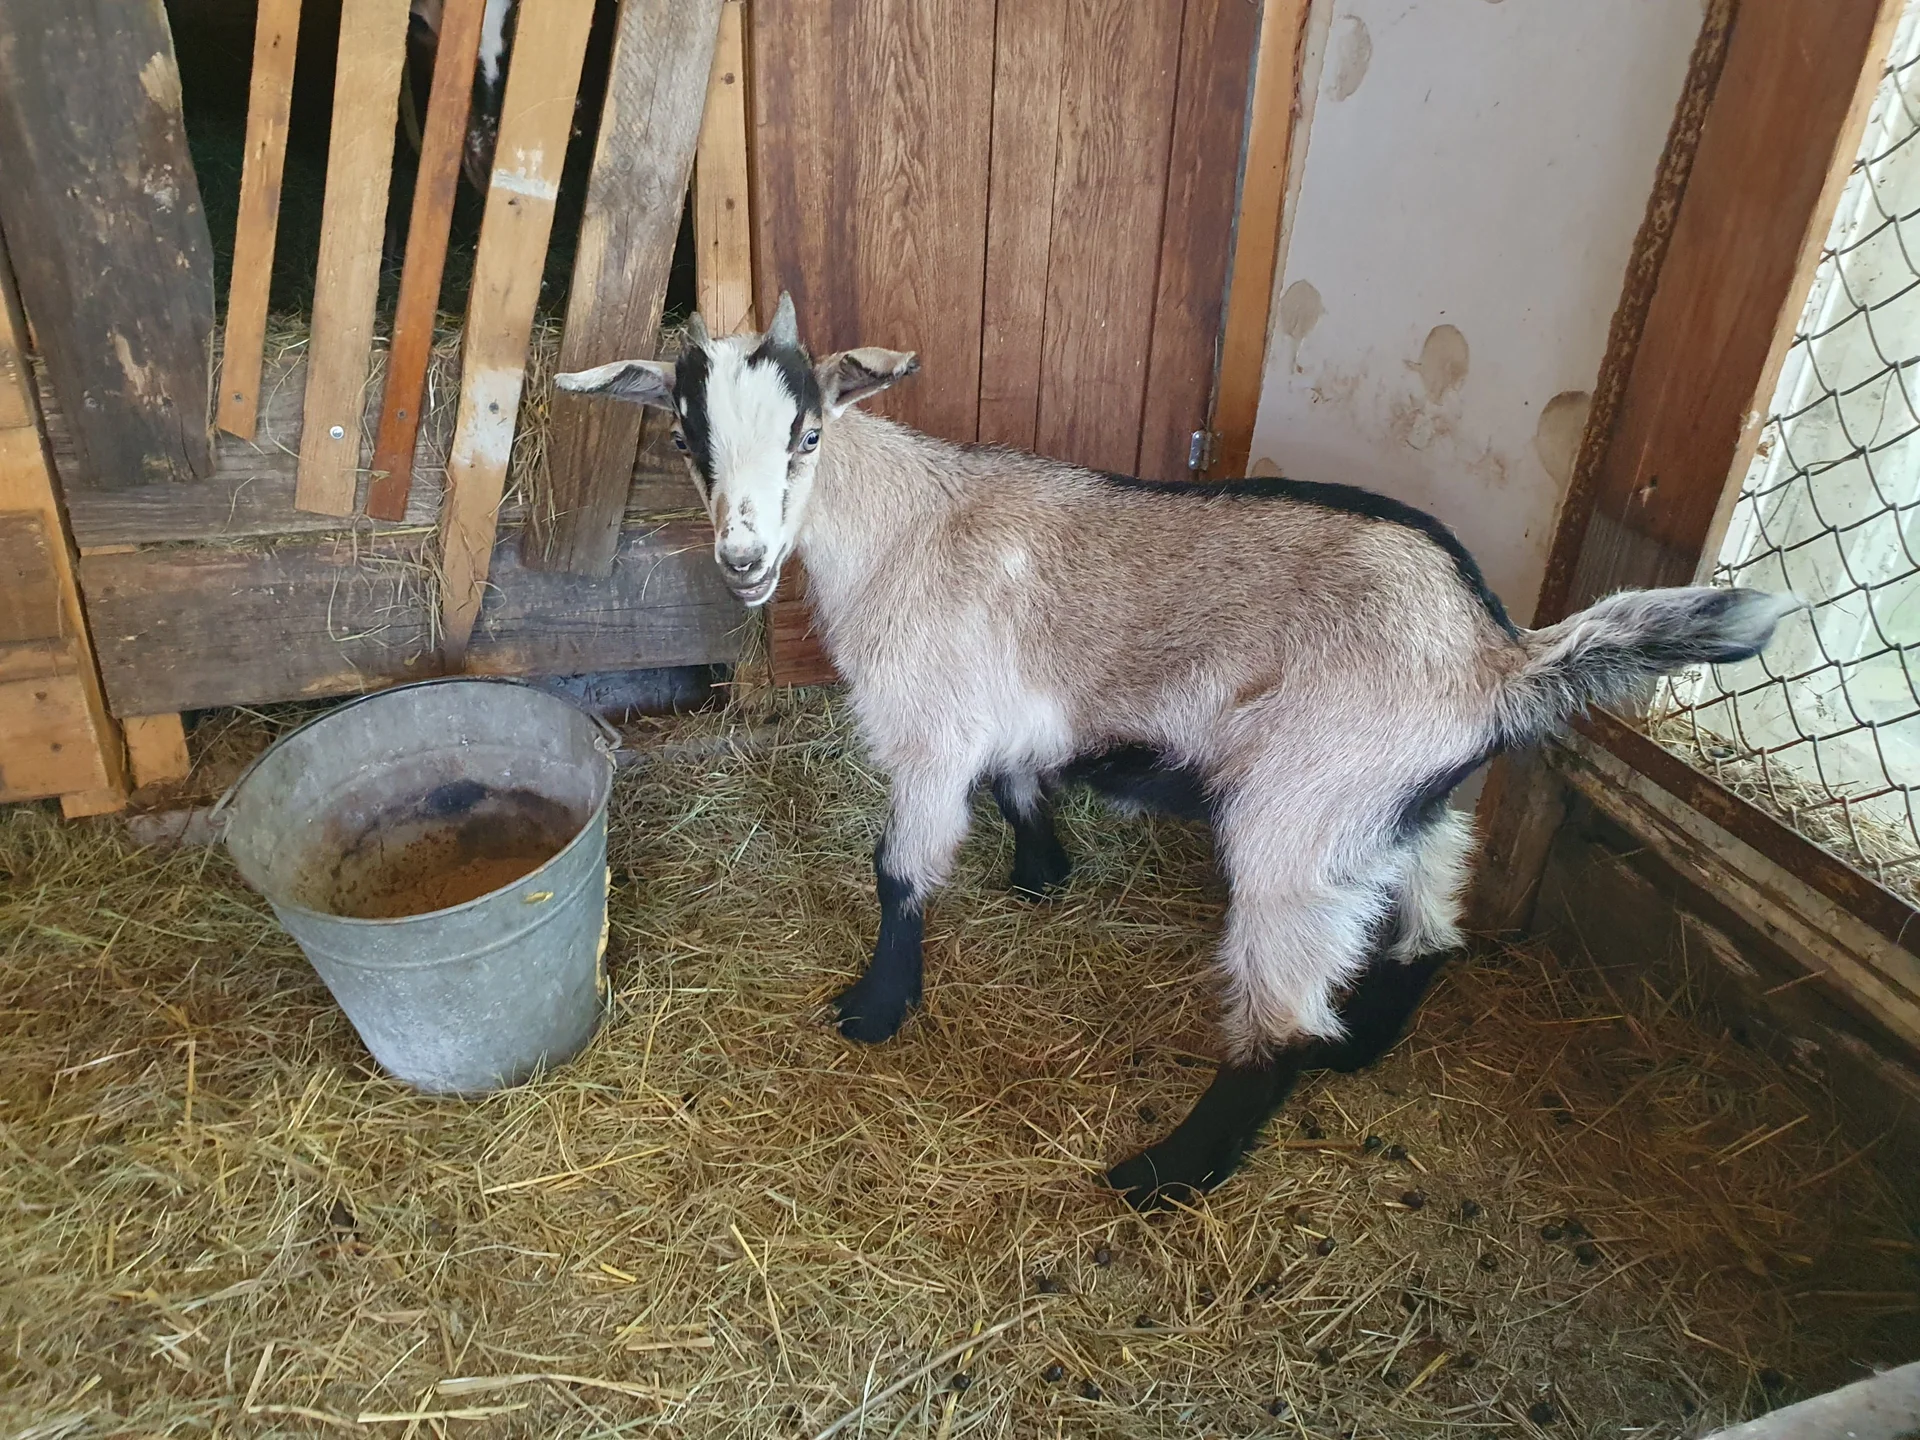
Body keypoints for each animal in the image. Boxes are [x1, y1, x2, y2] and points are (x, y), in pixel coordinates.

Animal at [555, 296, 1794, 1207]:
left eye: (809, 434)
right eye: (685, 438)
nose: (744, 562)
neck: (911, 524)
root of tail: (1497, 656)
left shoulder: (930, 731)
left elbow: (899, 870)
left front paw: (876, 1008)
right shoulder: (1009, 714)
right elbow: (1022, 780)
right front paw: (1043, 872)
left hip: (1301, 815)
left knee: (1282, 1019)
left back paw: (1169, 1170)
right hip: (1398, 802)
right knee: (1432, 915)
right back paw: (1366, 1043)